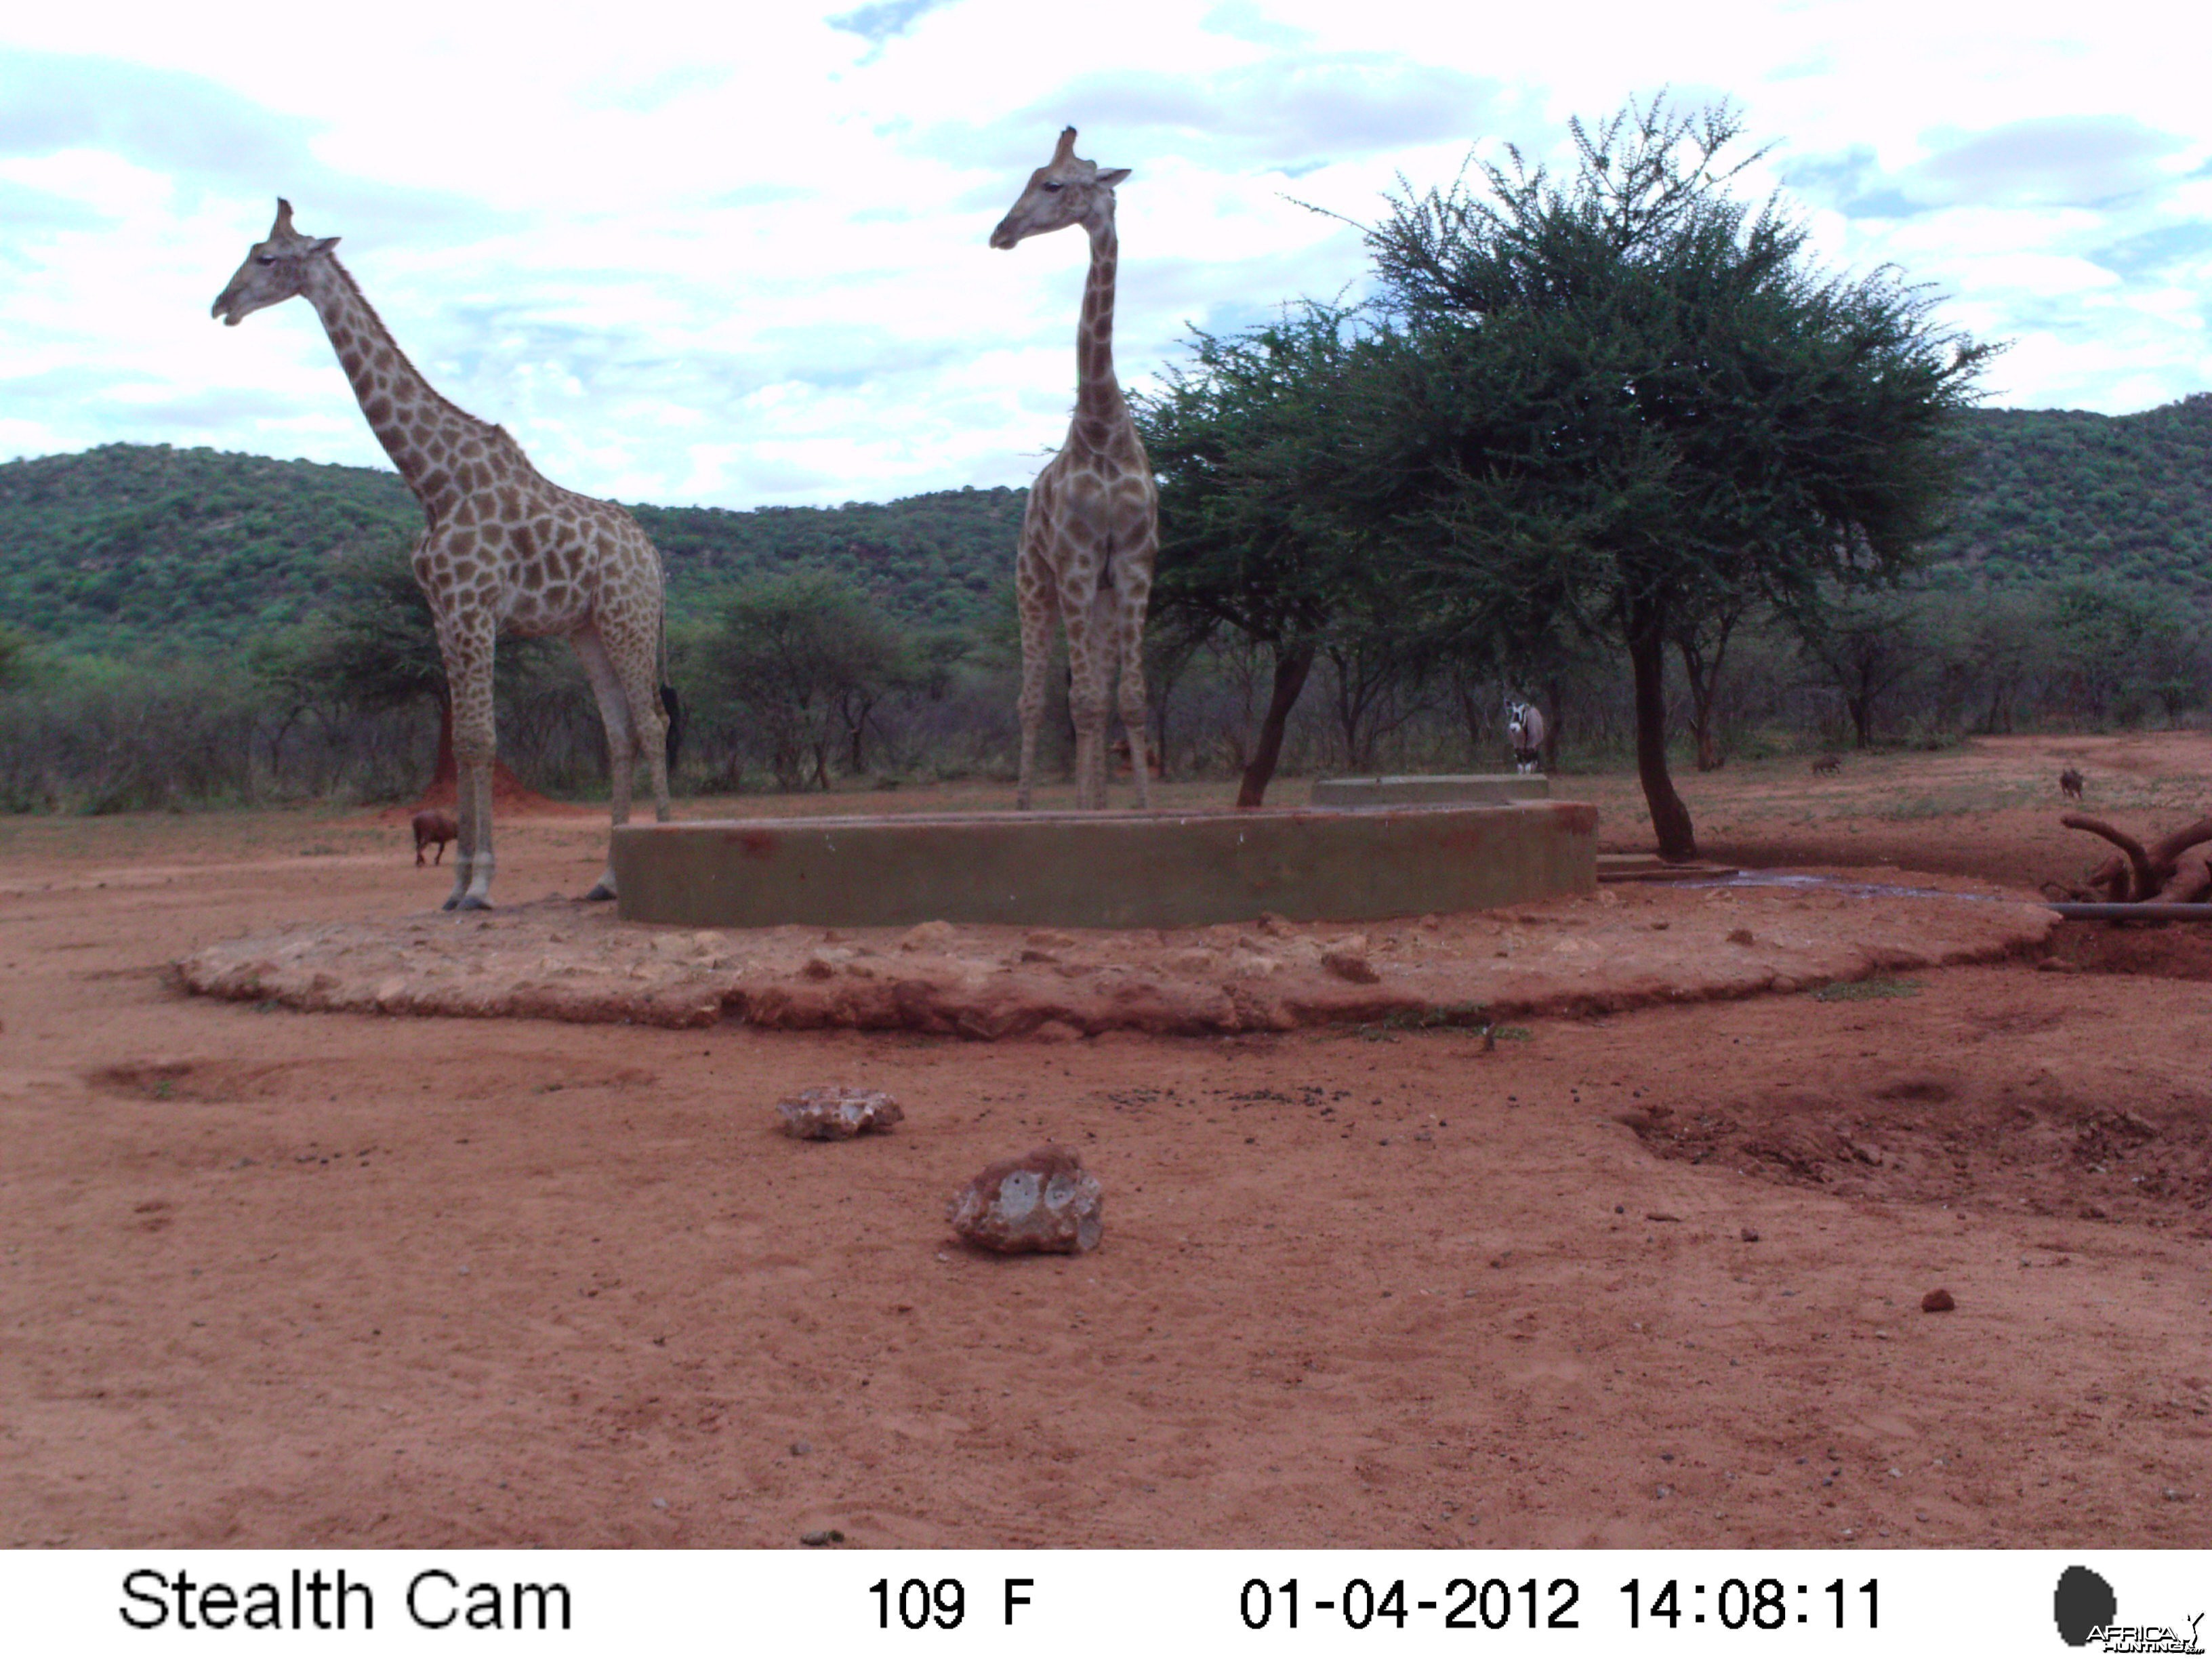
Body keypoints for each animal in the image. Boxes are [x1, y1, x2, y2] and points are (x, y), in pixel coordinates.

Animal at [213, 204, 672, 924]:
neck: (433, 483)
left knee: (653, 723)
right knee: (620, 733)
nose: (221, 305)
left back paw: (662, 851)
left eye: (266, 258)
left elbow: (481, 740)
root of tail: (652, 556)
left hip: (629, 618)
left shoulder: (475, 609)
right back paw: (607, 878)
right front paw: (455, 887)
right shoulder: (443, 615)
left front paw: (481, 885)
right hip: (588, 628)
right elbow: (460, 743)